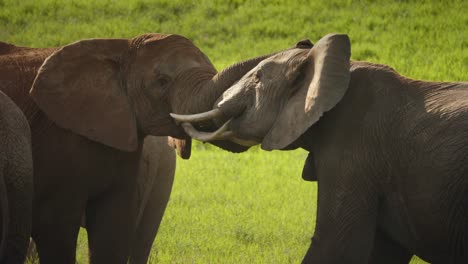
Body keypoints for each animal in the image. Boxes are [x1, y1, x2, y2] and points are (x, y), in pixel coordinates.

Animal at [0, 33, 310, 262]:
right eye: (162, 82)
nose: (304, 43)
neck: (119, 48)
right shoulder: (59, 137)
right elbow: (56, 229)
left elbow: (112, 230)